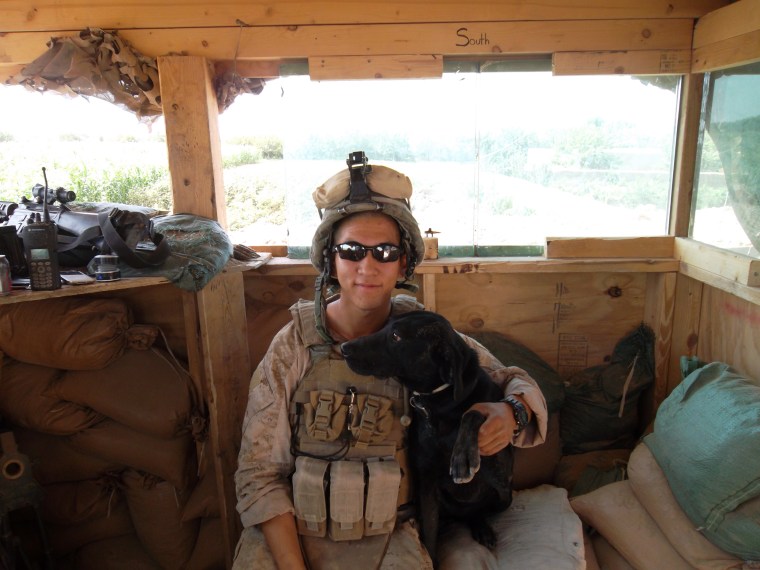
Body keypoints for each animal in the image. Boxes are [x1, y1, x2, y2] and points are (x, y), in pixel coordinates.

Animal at [342, 308, 512, 556]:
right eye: (385, 325)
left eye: (396, 336)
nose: (344, 347)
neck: (437, 401)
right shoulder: (427, 484)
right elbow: (430, 536)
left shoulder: (500, 469)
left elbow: (473, 413)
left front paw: (462, 457)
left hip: (504, 496)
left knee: (477, 512)